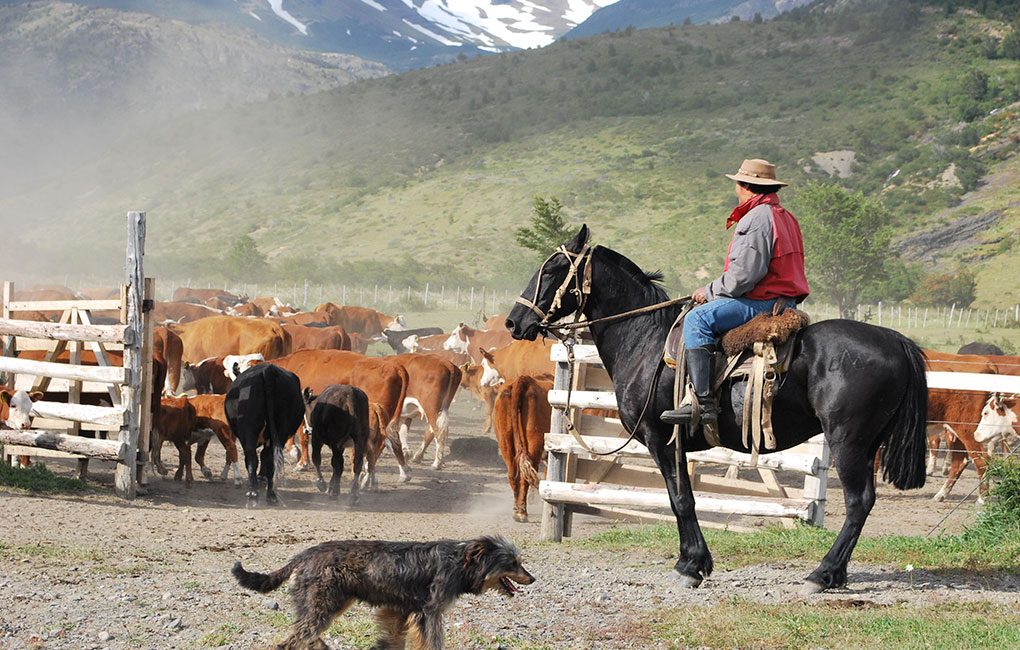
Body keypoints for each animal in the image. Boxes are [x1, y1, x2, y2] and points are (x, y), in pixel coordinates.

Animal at [223, 359, 301, 506]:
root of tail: (268, 370)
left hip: (249, 428)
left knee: (252, 457)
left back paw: (253, 493)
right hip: (280, 430)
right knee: (269, 458)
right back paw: (270, 495)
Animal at [231, 534, 534, 644]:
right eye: (513, 562)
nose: (532, 578)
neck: (461, 562)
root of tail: (305, 553)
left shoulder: (400, 611)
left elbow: (394, 639)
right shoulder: (430, 612)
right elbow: (432, 642)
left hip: (332, 605)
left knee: (304, 638)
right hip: (322, 608)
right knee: (292, 641)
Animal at [491, 375, 550, 522]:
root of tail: (523, 380)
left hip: (505, 440)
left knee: (513, 475)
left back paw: (516, 509)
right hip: (533, 442)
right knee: (524, 477)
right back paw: (522, 512)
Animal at [505, 225, 930, 591]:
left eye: (553, 269)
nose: (513, 321)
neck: (646, 342)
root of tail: (895, 340)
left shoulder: (661, 439)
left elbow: (681, 499)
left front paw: (691, 565)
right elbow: (682, 498)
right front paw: (694, 561)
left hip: (848, 442)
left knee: (858, 503)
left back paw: (822, 574)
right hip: (867, 444)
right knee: (865, 502)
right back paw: (835, 573)